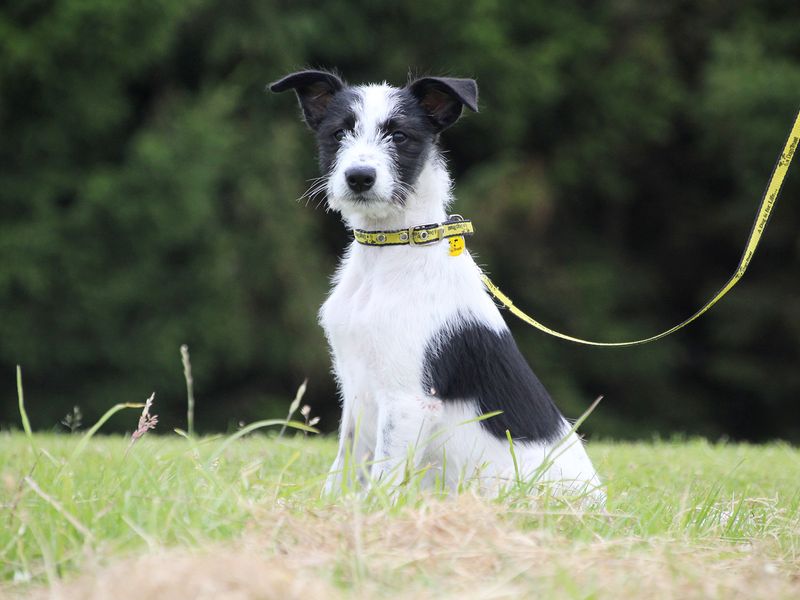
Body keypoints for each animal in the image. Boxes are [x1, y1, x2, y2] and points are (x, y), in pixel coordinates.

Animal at [272, 70, 604, 502]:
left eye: (399, 136)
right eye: (339, 132)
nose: (359, 177)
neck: (392, 250)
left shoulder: (407, 401)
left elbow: (383, 478)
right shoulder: (355, 388)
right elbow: (345, 466)